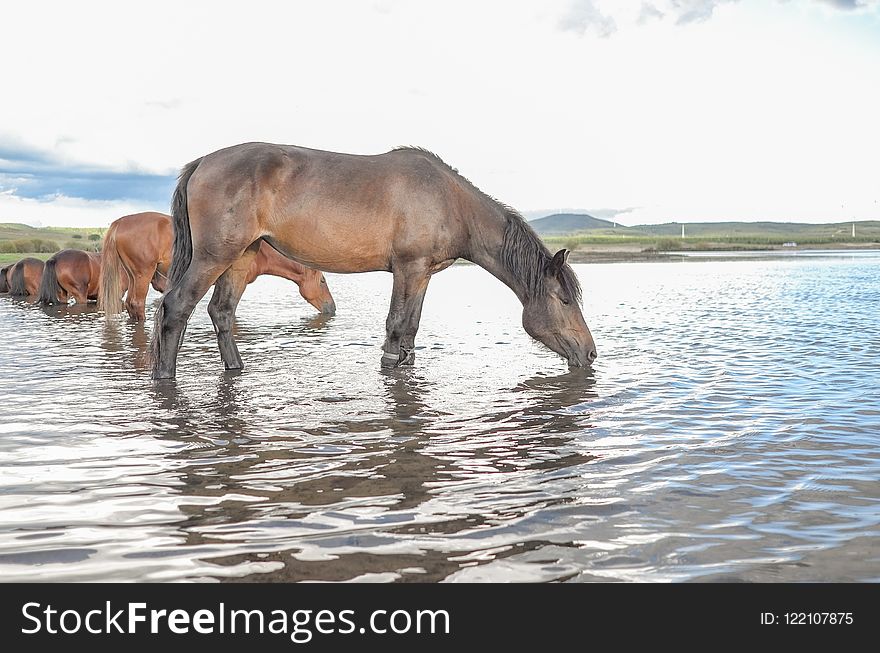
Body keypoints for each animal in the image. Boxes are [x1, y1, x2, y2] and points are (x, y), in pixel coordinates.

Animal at [153, 143, 600, 376]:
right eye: (564, 299)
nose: (591, 353)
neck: (452, 202)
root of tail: (202, 163)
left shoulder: (423, 274)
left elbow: (410, 331)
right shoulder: (408, 268)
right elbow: (397, 327)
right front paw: (389, 368)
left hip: (240, 258)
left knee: (221, 312)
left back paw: (236, 369)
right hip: (214, 256)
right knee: (176, 307)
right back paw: (164, 376)